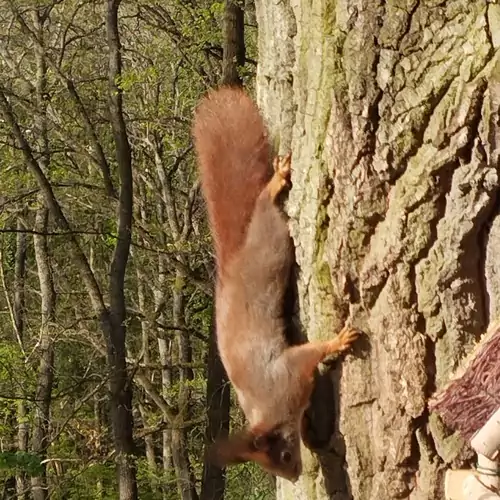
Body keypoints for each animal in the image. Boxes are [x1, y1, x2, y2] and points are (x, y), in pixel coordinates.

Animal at [191, 88, 360, 482]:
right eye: (273, 466)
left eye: (282, 454)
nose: (295, 475)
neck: (268, 409)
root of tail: (233, 261)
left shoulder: (288, 374)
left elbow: (312, 353)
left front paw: (337, 340)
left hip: (272, 244)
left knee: (265, 206)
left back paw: (275, 182)